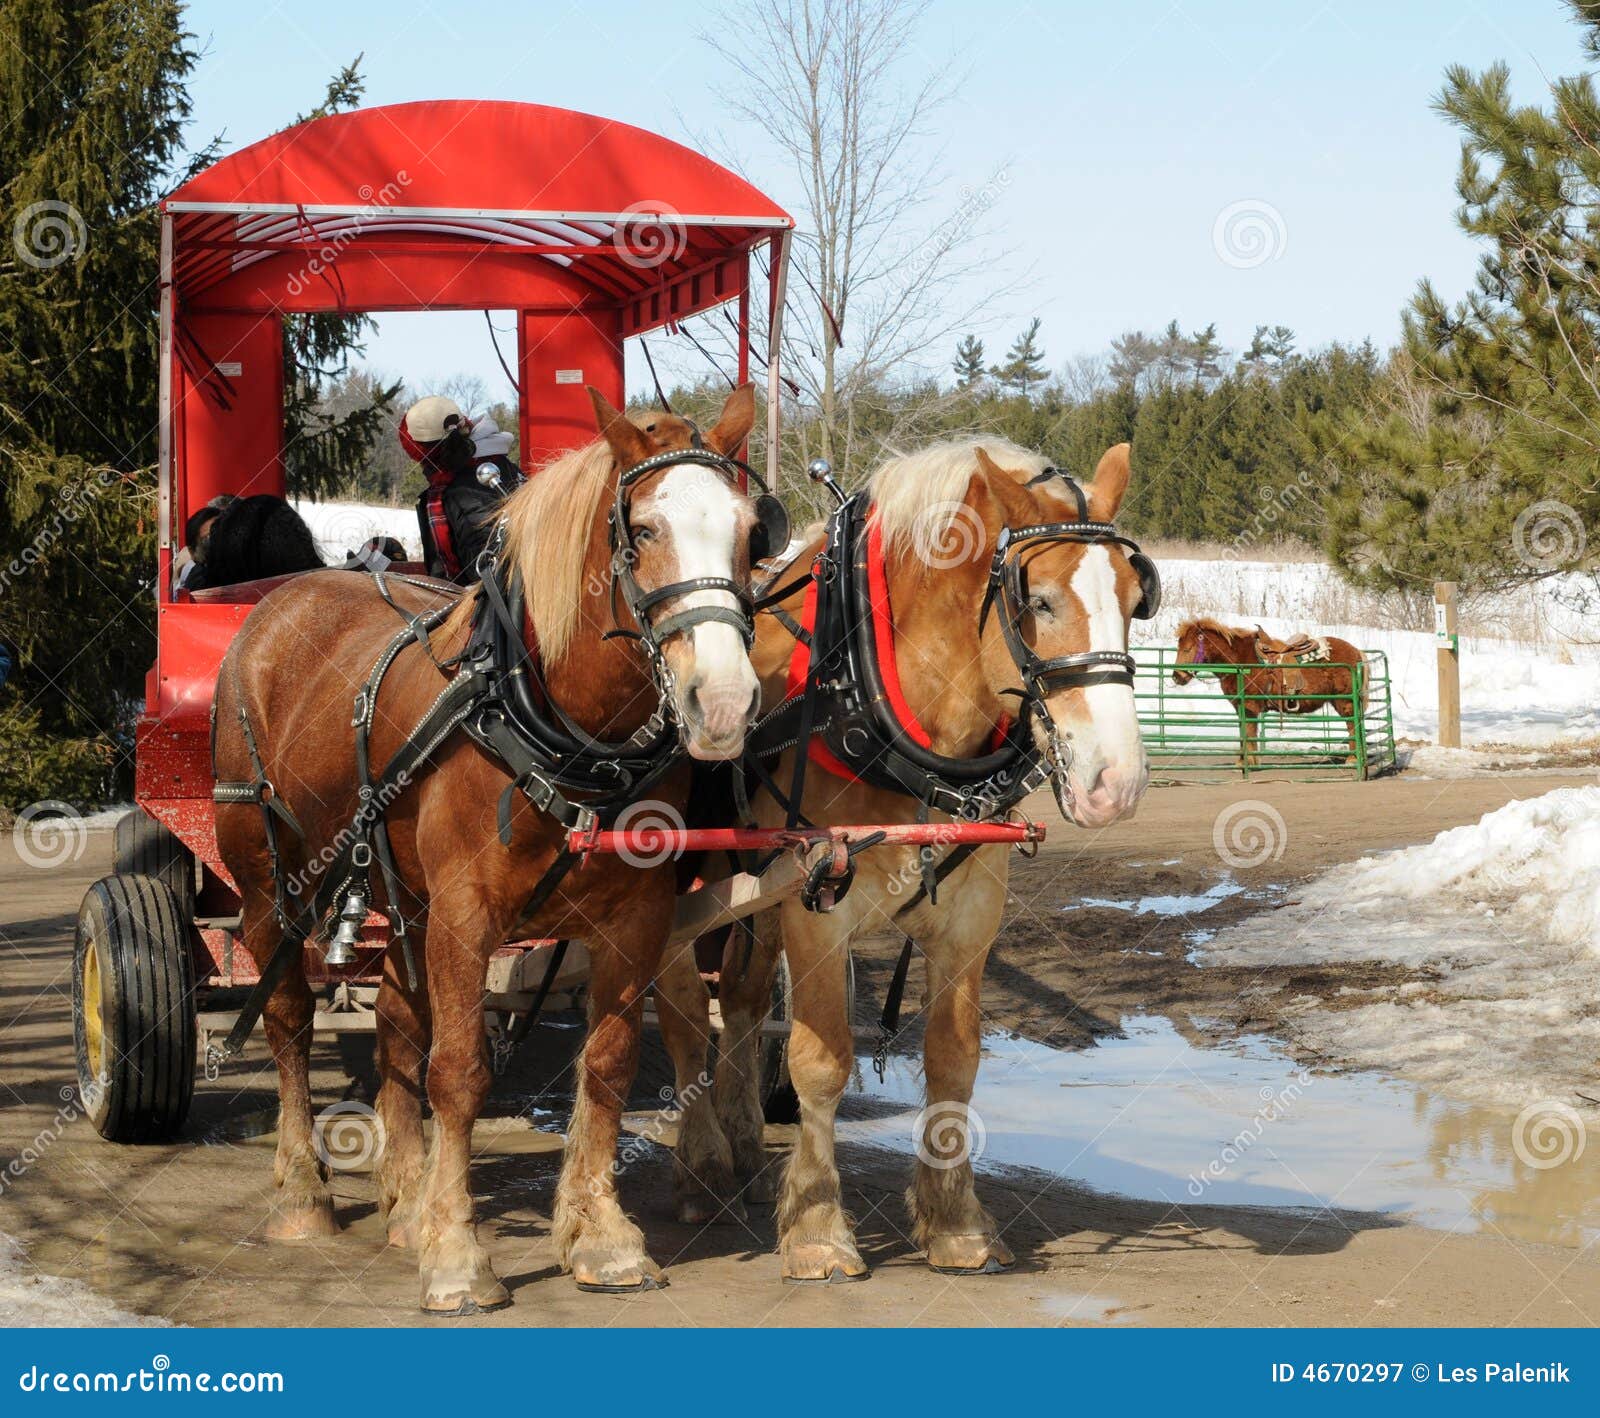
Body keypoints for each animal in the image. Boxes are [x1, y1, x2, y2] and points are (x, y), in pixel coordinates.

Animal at [213, 384, 767, 1313]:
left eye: (751, 530)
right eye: (643, 530)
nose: (722, 703)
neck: (561, 728)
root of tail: (287, 597)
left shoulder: (636, 917)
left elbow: (608, 1062)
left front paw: (601, 1237)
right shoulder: (467, 914)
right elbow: (461, 1072)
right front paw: (457, 1255)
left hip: (401, 895)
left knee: (396, 1022)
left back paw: (405, 1200)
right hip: (268, 880)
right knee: (288, 1016)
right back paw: (301, 1193)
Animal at [653, 439, 1151, 1281]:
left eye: (1136, 596)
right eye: (1041, 601)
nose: (1115, 784)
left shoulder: (971, 914)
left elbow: (954, 1059)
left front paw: (955, 1223)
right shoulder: (816, 906)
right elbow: (821, 1062)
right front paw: (818, 1229)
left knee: (745, 1001)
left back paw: (744, 1142)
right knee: (685, 1007)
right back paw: (699, 1166)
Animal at [1171, 617, 1367, 765]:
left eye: (1187, 649)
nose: (1176, 677)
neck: (1240, 660)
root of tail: (1357, 651)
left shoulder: (1250, 706)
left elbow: (1249, 733)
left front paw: (1249, 762)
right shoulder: (1240, 707)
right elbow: (1243, 732)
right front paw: (1243, 762)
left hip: (1345, 701)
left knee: (1352, 726)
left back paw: (1352, 759)